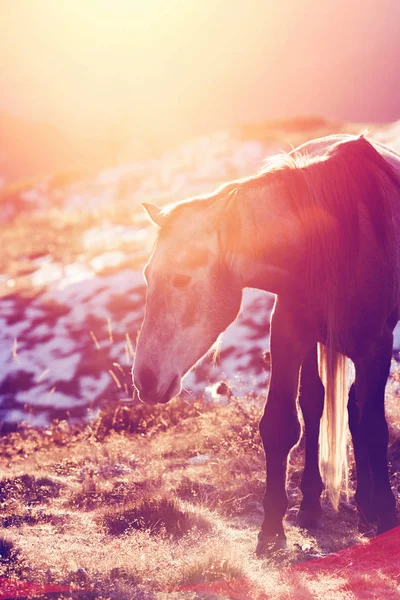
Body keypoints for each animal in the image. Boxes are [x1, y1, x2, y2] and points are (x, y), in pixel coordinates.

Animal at [132, 135, 400, 552]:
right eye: (147, 275)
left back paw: (366, 505)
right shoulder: (288, 333)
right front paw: (272, 528)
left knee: (355, 410)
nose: (145, 379)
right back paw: (313, 506)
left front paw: (386, 516)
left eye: (182, 278)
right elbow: (280, 424)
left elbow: (373, 427)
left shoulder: (376, 346)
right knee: (317, 403)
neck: (331, 237)